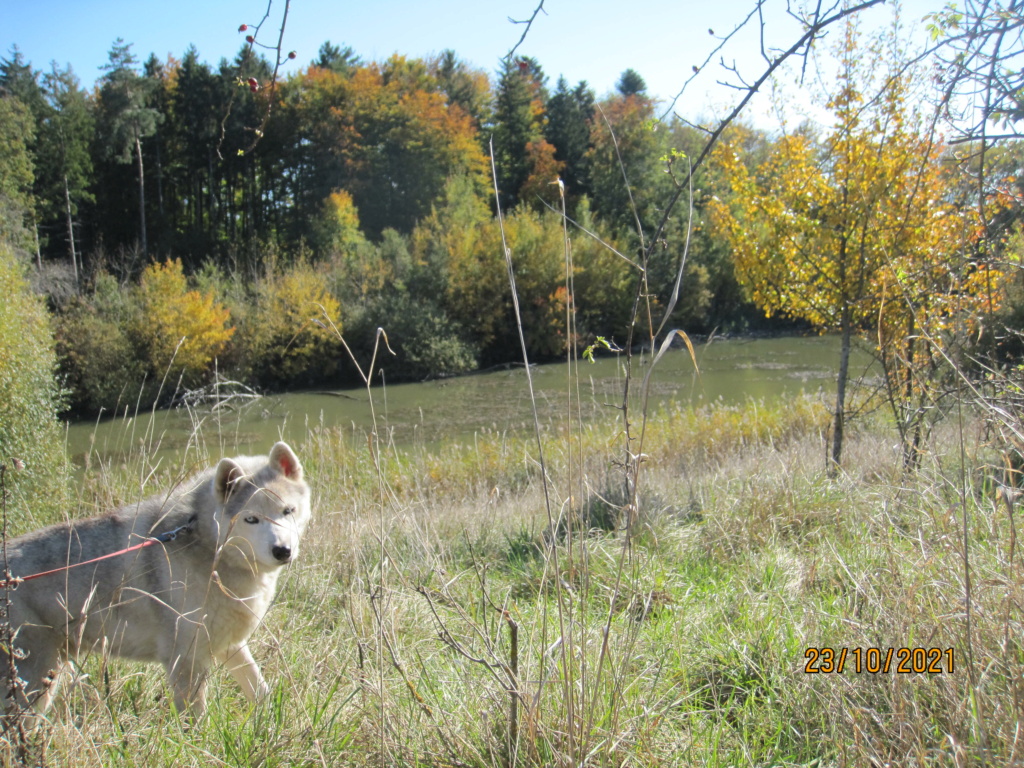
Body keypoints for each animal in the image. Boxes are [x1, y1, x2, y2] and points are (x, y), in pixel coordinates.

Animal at [0, 442, 311, 720]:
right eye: (251, 519)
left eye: (287, 511)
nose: (283, 551)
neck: (208, 545)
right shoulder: (185, 659)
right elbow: (196, 721)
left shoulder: (228, 644)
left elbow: (260, 689)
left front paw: (273, 723)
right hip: (34, 683)